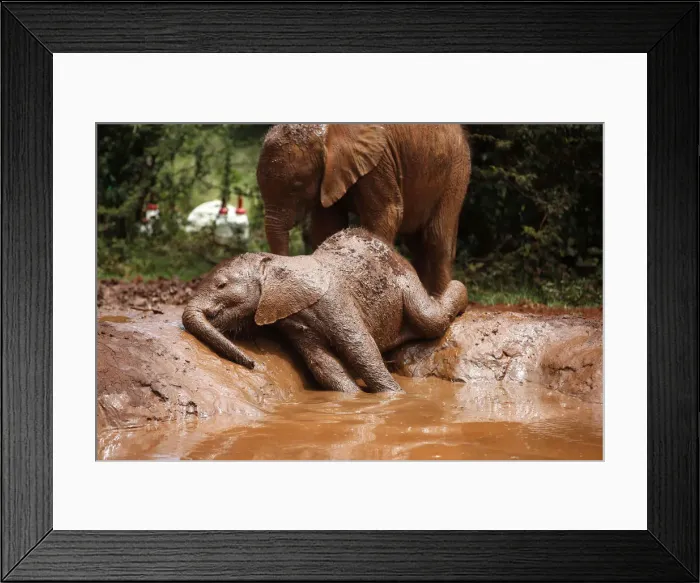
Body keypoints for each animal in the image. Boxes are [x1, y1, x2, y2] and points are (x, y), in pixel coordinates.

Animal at [182, 228, 468, 393]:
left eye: (221, 285)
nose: (252, 364)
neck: (275, 264)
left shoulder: (335, 300)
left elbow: (362, 350)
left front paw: (394, 396)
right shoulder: (294, 321)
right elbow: (324, 365)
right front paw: (354, 398)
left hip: (404, 278)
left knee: (429, 319)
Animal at [256, 123, 471, 295]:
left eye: (297, 186)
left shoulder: (379, 160)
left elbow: (386, 213)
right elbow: (327, 226)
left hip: (456, 170)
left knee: (436, 238)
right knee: (417, 243)